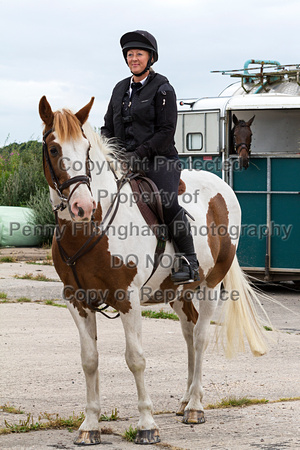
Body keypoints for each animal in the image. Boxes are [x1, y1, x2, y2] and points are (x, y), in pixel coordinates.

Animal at [39, 96, 268, 444]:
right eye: (53, 149)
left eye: (86, 149)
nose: (83, 207)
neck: (92, 227)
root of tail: (220, 185)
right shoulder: (77, 301)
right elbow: (89, 360)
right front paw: (89, 426)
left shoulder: (128, 299)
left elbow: (135, 359)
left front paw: (147, 425)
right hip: (178, 292)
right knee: (189, 332)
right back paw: (186, 399)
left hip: (211, 284)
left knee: (200, 338)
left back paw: (195, 407)